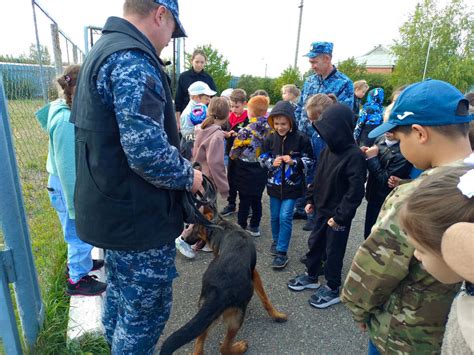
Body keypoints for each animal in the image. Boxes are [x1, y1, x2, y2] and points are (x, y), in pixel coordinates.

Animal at [160, 211, 286, 355]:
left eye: (194, 227)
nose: (183, 238)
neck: (220, 226)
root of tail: (218, 290)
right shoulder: (254, 273)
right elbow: (265, 298)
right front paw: (276, 315)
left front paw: (276, 315)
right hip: (235, 319)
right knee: (224, 347)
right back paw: (240, 347)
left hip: (208, 319)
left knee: (199, 345)